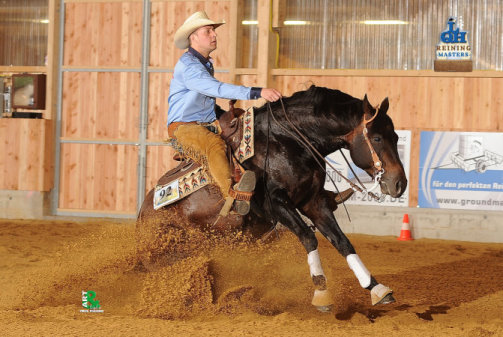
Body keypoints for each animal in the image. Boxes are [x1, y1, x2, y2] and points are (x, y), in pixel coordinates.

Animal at [137, 85, 410, 312]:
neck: (288, 139)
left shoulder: (314, 202)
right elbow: (308, 237)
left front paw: (377, 289)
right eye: (377, 138)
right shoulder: (276, 203)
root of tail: (142, 213)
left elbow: (342, 242)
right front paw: (321, 294)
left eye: (396, 137)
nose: (400, 183)